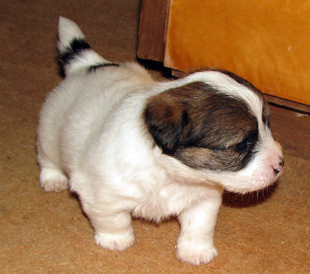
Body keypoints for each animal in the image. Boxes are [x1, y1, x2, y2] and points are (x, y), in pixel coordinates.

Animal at [36, 17, 284, 266]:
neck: (171, 174)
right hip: (49, 132)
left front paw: (196, 250)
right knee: (47, 157)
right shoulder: (100, 195)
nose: (280, 164)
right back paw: (53, 179)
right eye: (242, 144)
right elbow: (113, 219)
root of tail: (89, 64)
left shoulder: (204, 198)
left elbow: (200, 226)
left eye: (267, 125)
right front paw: (116, 240)